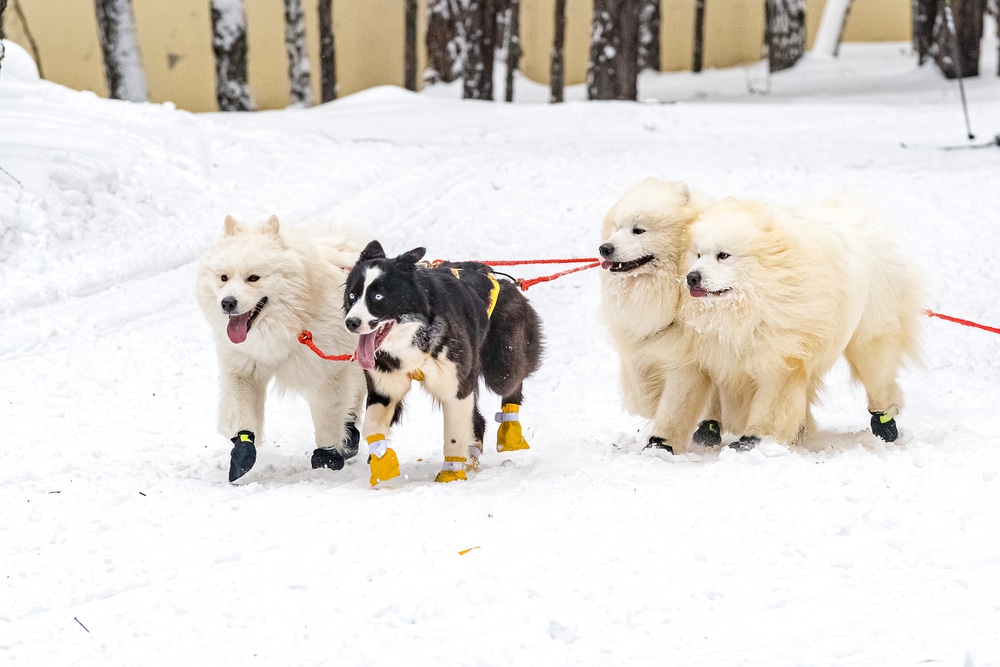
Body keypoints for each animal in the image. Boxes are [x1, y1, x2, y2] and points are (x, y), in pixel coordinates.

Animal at [195, 214, 368, 480]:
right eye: (223, 278)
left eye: (253, 278)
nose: (227, 303)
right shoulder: (243, 369)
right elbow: (242, 413)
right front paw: (242, 455)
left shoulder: (328, 373)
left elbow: (328, 419)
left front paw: (327, 459)